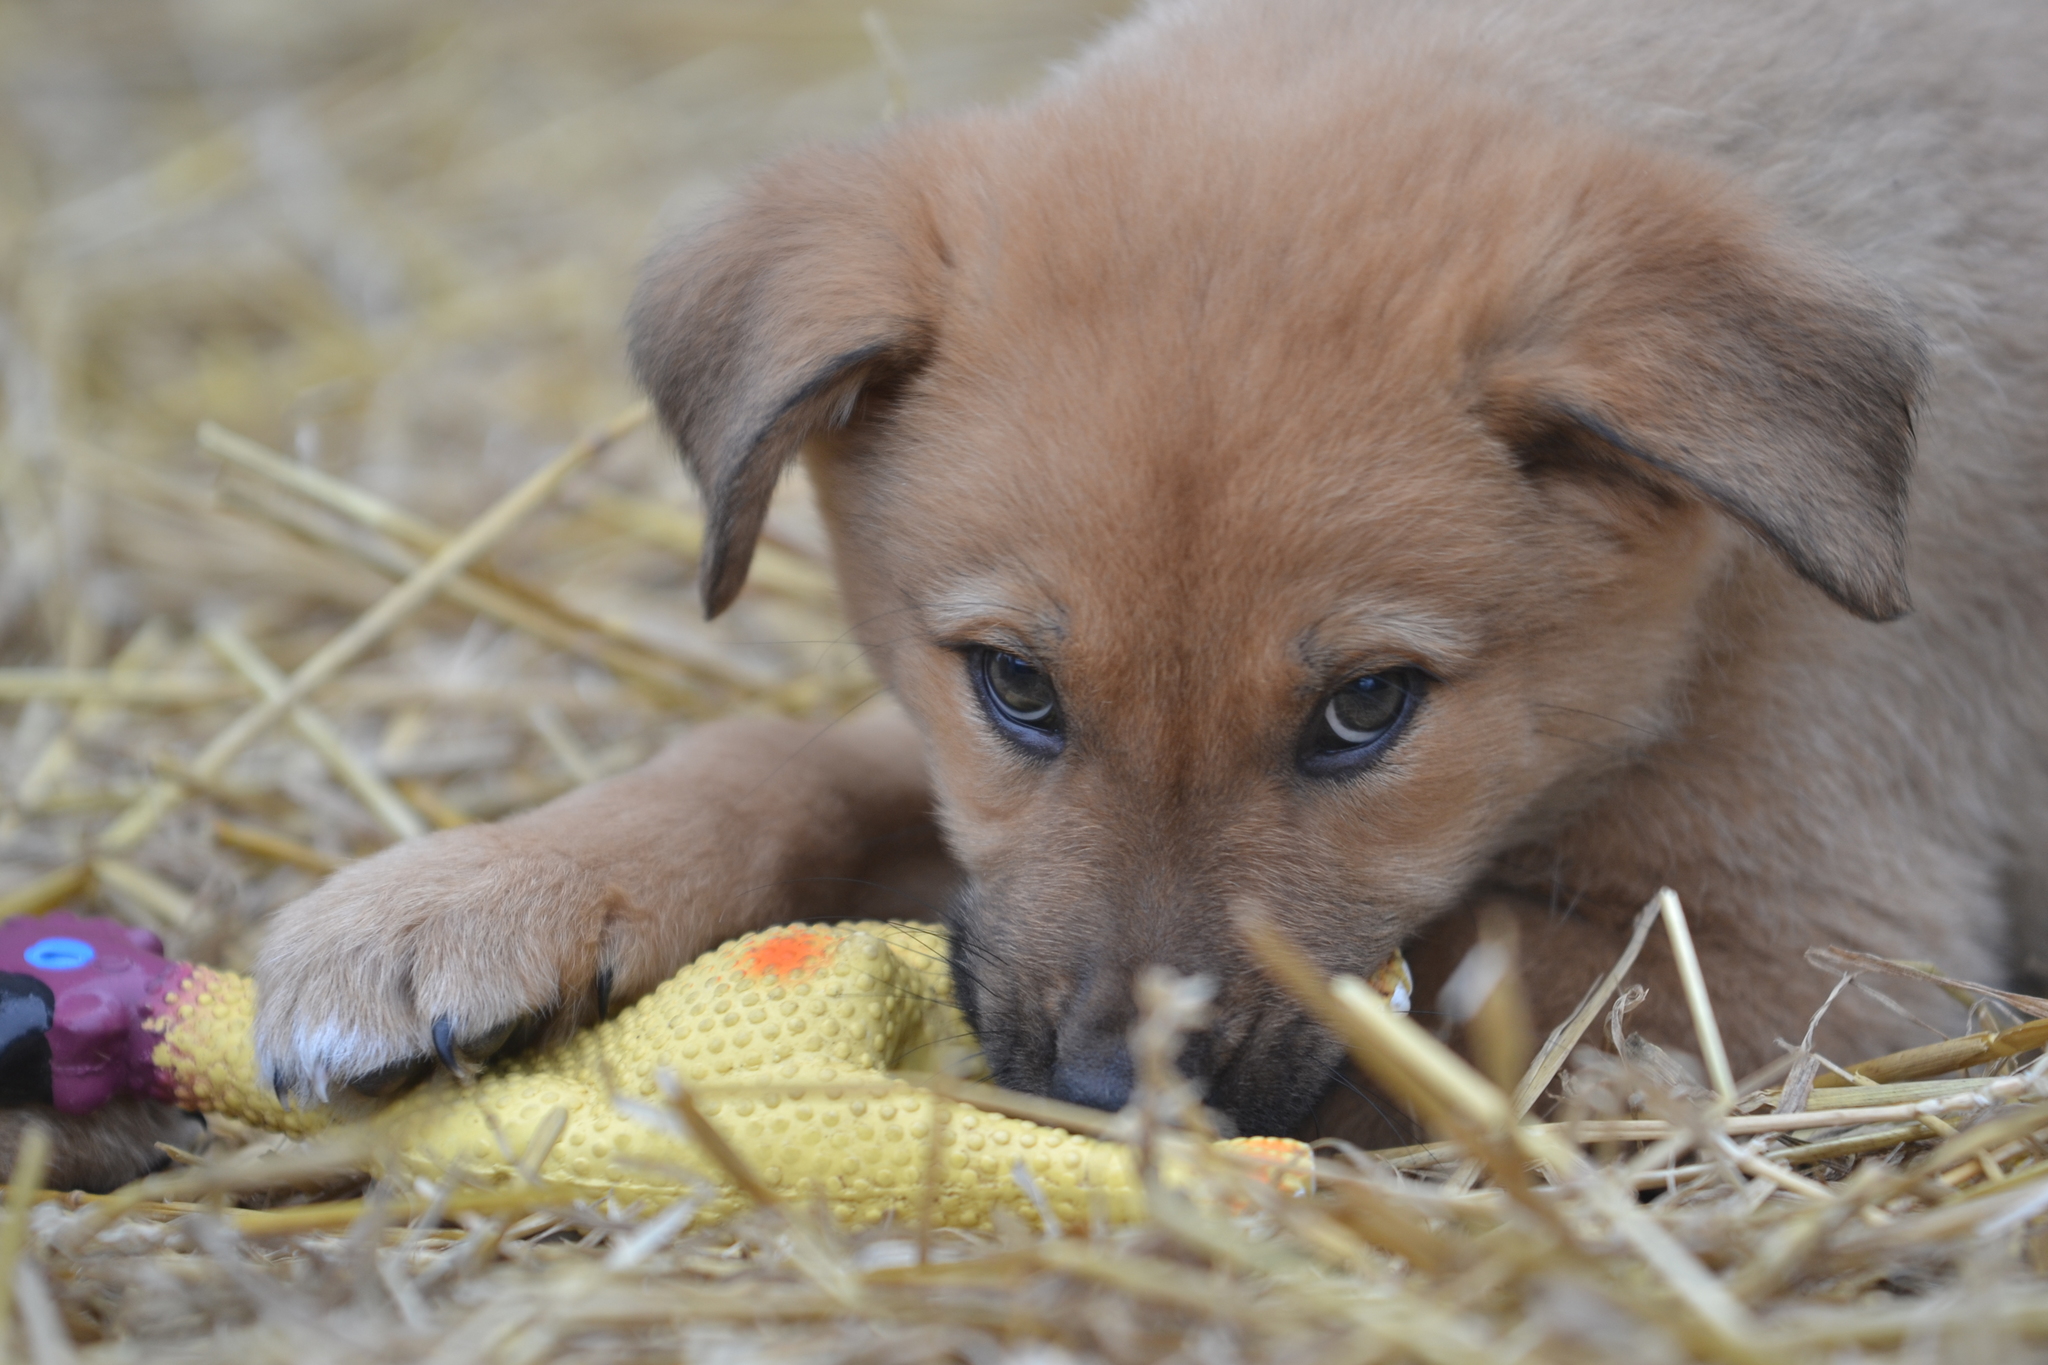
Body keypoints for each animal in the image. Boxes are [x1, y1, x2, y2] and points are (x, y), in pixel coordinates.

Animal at [251, 0, 2048, 1146]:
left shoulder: (1811, 952)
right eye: (1015, 687)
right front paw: (476, 893)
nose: (1114, 1103)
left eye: (1368, 708)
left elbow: (1443, 983)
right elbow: (778, 758)